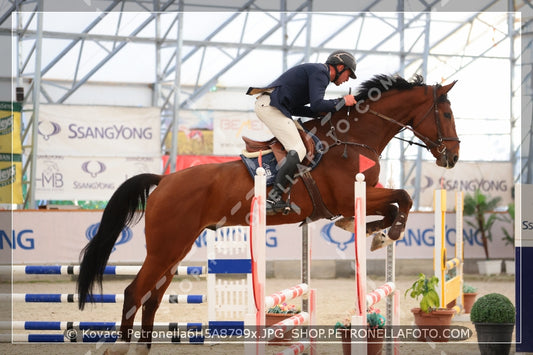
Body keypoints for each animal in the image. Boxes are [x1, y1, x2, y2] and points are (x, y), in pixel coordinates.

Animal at [77, 73, 460, 352]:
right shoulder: (347, 197)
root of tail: (165, 178)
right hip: (165, 247)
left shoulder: (358, 197)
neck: (351, 139)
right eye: (446, 113)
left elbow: (395, 204)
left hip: (176, 249)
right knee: (134, 292)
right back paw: (123, 347)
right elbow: (403, 198)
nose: (453, 157)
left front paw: (371, 231)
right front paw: (385, 233)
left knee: (153, 298)